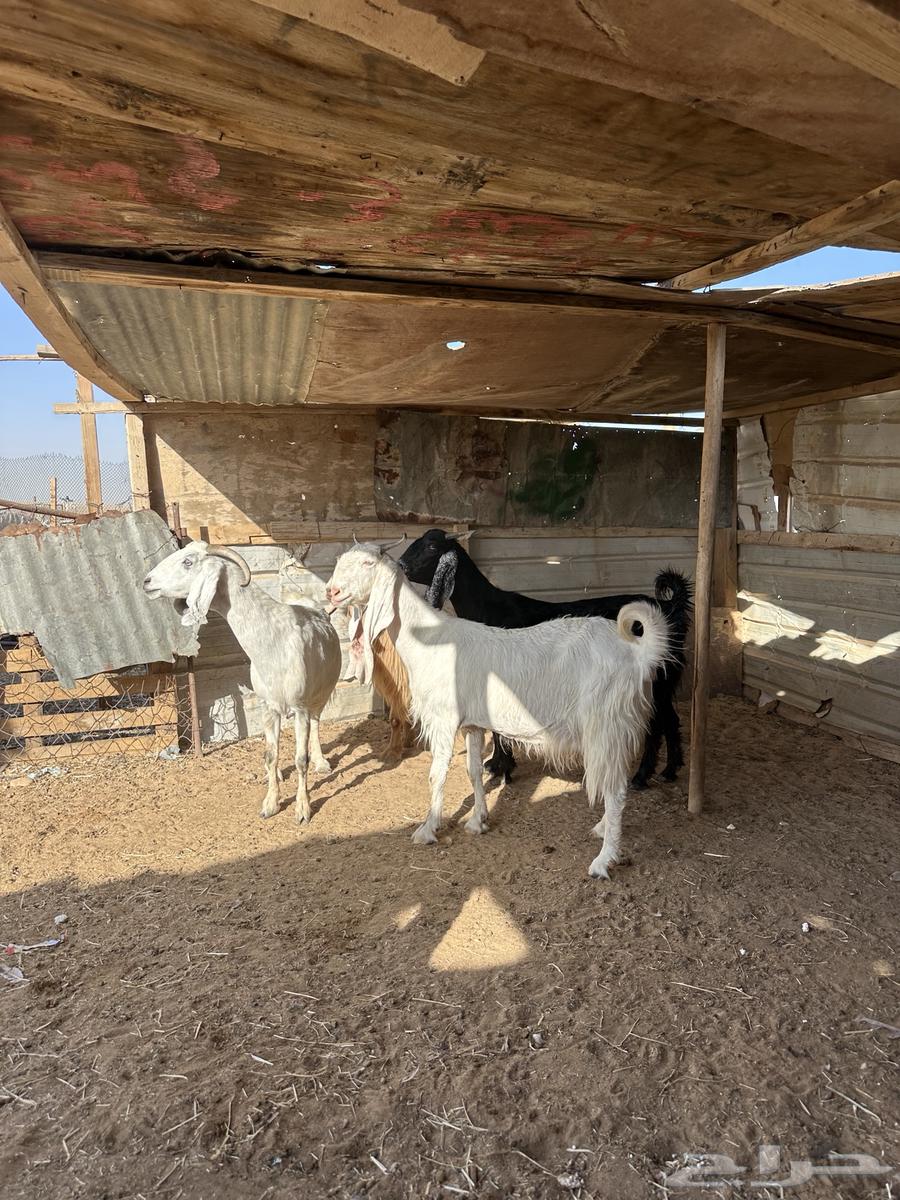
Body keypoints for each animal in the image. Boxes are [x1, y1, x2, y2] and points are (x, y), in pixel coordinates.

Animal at [143, 542, 342, 822]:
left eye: (188, 562)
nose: (147, 582)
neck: (273, 640)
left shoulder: (300, 706)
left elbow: (301, 759)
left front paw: (303, 809)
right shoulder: (268, 706)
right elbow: (271, 755)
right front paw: (270, 803)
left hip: (321, 694)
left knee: (315, 724)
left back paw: (321, 763)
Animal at [326, 543, 670, 879]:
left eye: (368, 564)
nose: (331, 591)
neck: (429, 639)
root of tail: (638, 653)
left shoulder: (443, 719)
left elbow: (437, 774)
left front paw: (427, 829)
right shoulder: (472, 724)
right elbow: (473, 771)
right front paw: (478, 821)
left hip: (605, 724)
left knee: (615, 788)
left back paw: (603, 860)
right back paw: (602, 828)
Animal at [399, 529, 692, 788]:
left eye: (432, 546)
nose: (401, 565)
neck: (487, 607)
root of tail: (669, 607)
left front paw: (503, 768)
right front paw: (498, 764)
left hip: (655, 682)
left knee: (656, 725)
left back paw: (642, 777)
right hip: (664, 681)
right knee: (670, 720)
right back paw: (670, 770)